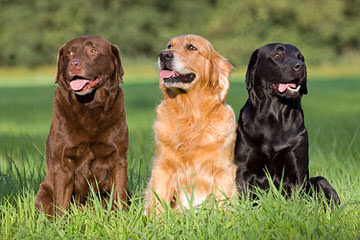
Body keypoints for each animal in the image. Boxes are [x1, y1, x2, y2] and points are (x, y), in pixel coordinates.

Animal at [34, 35, 129, 216]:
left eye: (93, 51)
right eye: (69, 53)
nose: (74, 64)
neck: (90, 106)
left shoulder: (119, 159)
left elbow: (119, 198)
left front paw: (121, 219)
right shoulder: (62, 163)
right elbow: (60, 205)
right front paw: (60, 224)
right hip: (43, 192)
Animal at [145, 34, 238, 213]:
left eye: (191, 47)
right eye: (169, 45)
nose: (164, 55)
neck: (190, 115)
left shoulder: (223, 170)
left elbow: (222, 203)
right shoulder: (163, 167)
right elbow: (158, 202)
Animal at [233, 42, 340, 204]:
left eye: (301, 57)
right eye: (277, 55)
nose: (301, 66)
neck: (274, 117)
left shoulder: (297, 171)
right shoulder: (243, 170)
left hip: (320, 180)